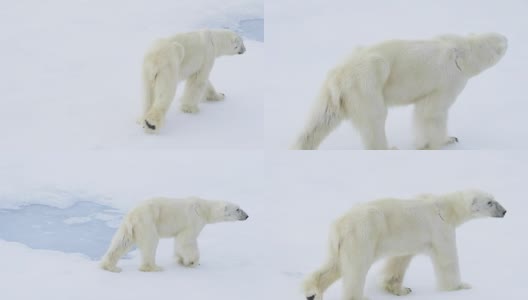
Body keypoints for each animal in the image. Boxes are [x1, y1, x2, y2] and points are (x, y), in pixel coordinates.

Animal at [100, 197, 249, 272]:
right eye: (238, 209)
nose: (247, 215)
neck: (204, 208)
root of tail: (133, 215)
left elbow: (179, 242)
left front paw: (180, 259)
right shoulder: (193, 220)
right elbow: (187, 240)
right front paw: (192, 262)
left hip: (129, 226)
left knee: (121, 242)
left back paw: (110, 266)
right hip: (148, 222)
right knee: (150, 243)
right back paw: (154, 267)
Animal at [292, 33, 508, 150]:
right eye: (503, 42)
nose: (508, 38)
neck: (462, 51)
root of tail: (339, 76)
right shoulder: (450, 80)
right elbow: (431, 112)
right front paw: (444, 140)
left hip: (333, 94)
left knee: (319, 121)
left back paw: (301, 146)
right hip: (367, 83)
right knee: (375, 119)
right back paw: (389, 148)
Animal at [306, 190, 508, 300]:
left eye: (494, 198)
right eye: (490, 202)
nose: (505, 211)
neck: (447, 208)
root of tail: (339, 225)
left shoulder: (409, 238)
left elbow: (399, 259)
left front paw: (400, 289)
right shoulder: (440, 228)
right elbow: (447, 259)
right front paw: (460, 287)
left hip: (341, 244)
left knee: (334, 266)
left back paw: (312, 292)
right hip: (363, 235)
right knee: (356, 269)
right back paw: (359, 296)